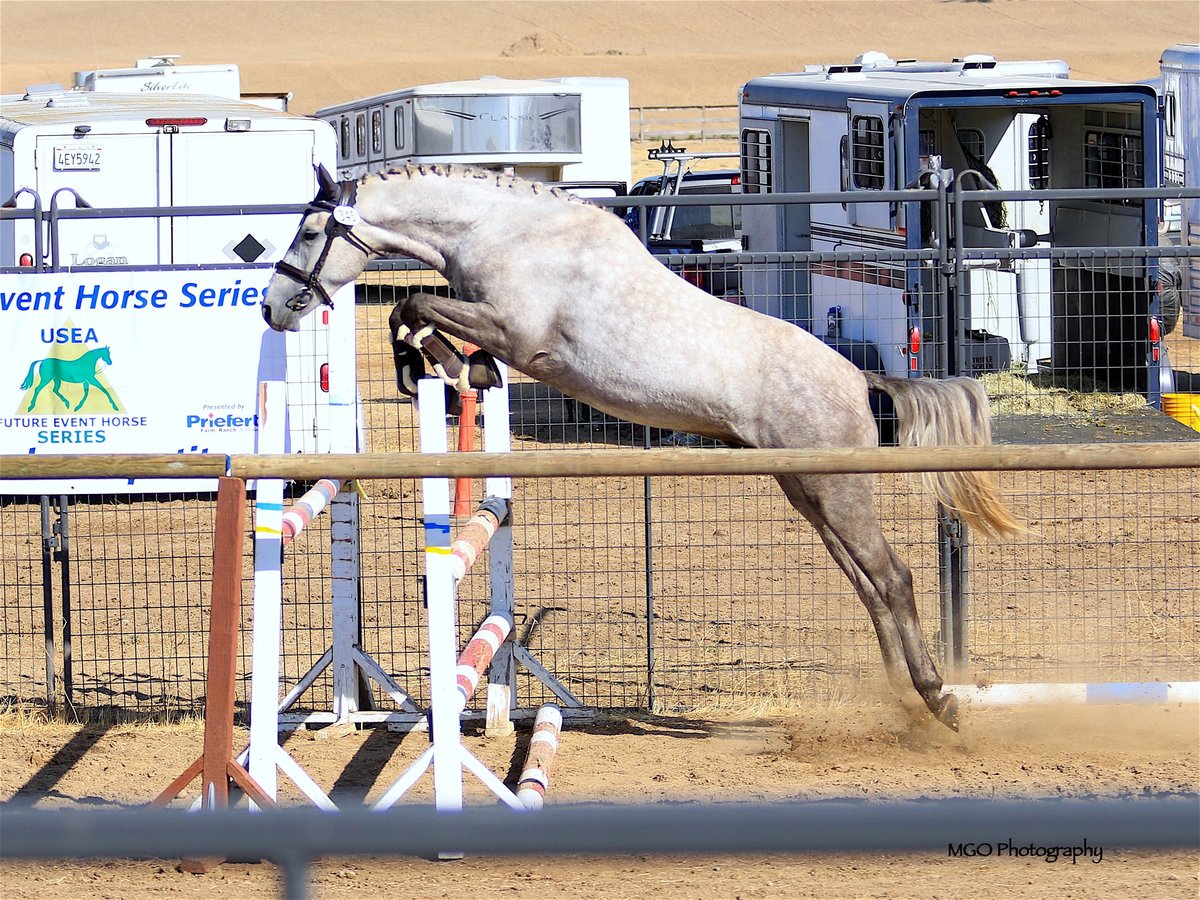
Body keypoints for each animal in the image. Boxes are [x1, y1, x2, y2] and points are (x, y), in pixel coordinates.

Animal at [265, 164, 1022, 734]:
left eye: (310, 231)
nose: (275, 307)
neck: (504, 232)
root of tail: (859, 378)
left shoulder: (514, 332)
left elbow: (416, 308)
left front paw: (437, 364)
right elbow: (420, 316)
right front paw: (451, 369)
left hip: (836, 488)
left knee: (891, 577)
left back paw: (938, 700)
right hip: (806, 488)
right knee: (867, 583)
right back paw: (905, 698)